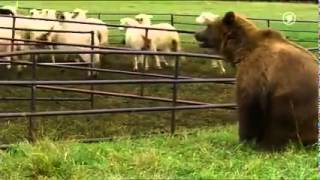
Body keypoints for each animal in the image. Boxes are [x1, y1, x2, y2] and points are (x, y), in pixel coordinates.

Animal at [195, 11, 318, 150]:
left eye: (208, 26)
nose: (197, 34)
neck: (241, 50)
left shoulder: (255, 73)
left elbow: (248, 107)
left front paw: (244, 140)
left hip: (289, 101)